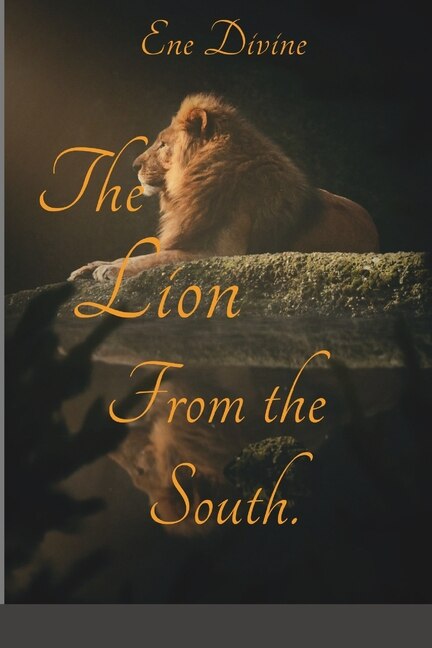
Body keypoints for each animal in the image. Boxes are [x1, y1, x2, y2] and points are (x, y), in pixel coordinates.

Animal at [69, 93, 379, 282]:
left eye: (163, 144)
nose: (134, 165)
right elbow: (141, 253)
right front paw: (92, 266)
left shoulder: (220, 253)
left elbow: (156, 258)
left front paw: (110, 269)